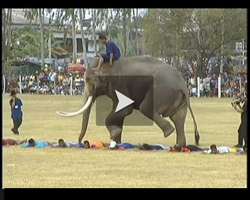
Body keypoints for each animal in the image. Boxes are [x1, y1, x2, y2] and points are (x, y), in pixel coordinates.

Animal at [56, 56, 199, 147]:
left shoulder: (119, 83)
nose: (82, 142)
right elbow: (119, 111)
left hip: (161, 90)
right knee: (178, 118)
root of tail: (182, 84)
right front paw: (117, 142)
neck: (107, 63)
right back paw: (179, 144)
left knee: (146, 108)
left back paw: (169, 132)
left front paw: (114, 134)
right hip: (178, 99)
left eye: (89, 80)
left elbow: (125, 109)